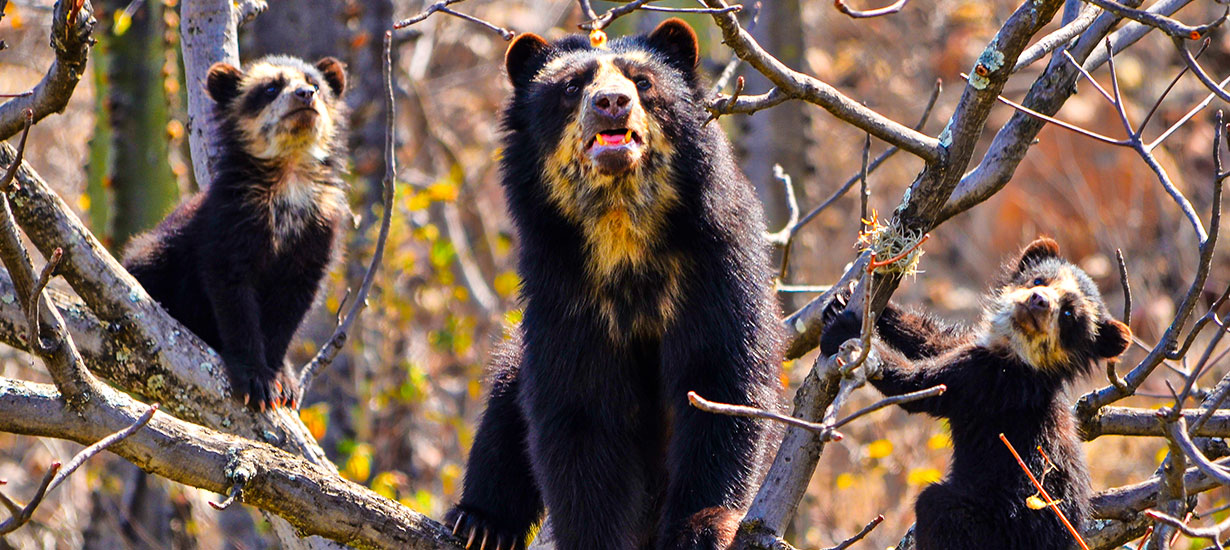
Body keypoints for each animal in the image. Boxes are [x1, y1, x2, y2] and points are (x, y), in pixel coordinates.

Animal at [123, 55, 351, 413]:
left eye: (315, 83)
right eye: (270, 88)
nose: (305, 95)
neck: (288, 178)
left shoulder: (318, 232)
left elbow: (292, 305)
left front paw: (282, 380)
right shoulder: (230, 220)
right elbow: (232, 291)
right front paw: (256, 381)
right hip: (156, 256)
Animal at [447, 19, 782, 550]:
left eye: (643, 82)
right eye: (571, 87)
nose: (611, 102)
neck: (620, 228)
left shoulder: (715, 267)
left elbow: (720, 381)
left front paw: (701, 530)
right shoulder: (564, 289)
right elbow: (580, 413)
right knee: (505, 403)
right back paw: (480, 523)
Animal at [821, 237, 1126, 550]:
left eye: (1068, 315)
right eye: (1039, 280)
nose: (1038, 300)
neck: (1015, 352)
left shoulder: (989, 383)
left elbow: (921, 386)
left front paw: (844, 333)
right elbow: (933, 339)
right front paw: (843, 302)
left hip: (996, 524)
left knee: (935, 506)